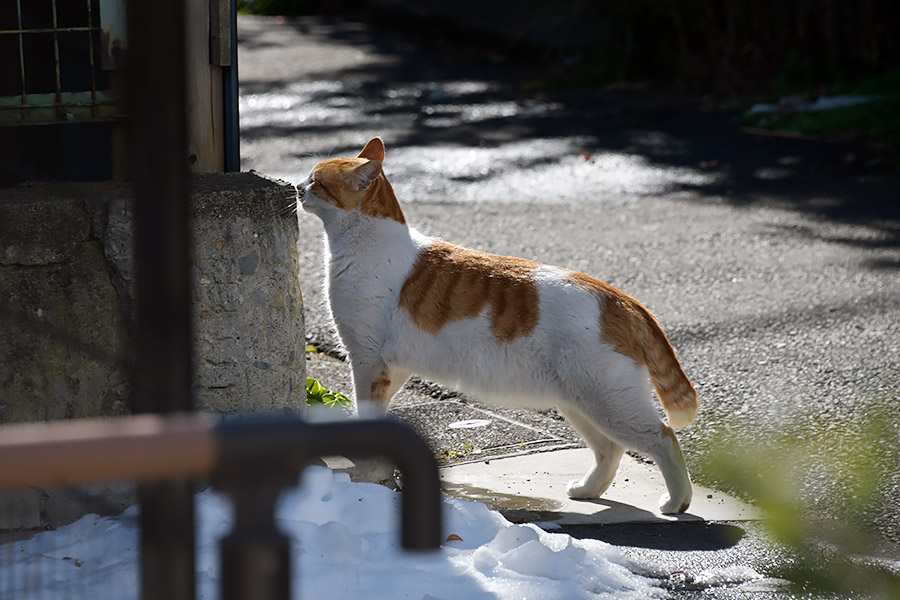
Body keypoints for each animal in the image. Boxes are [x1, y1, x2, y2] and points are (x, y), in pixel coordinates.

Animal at [298, 138, 700, 512]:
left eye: (316, 181)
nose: (298, 187)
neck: (368, 244)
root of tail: (622, 299)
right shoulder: (390, 367)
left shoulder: (367, 360)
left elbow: (367, 413)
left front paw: (368, 472)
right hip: (581, 402)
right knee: (610, 449)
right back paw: (588, 490)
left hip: (609, 401)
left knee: (662, 437)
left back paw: (676, 501)